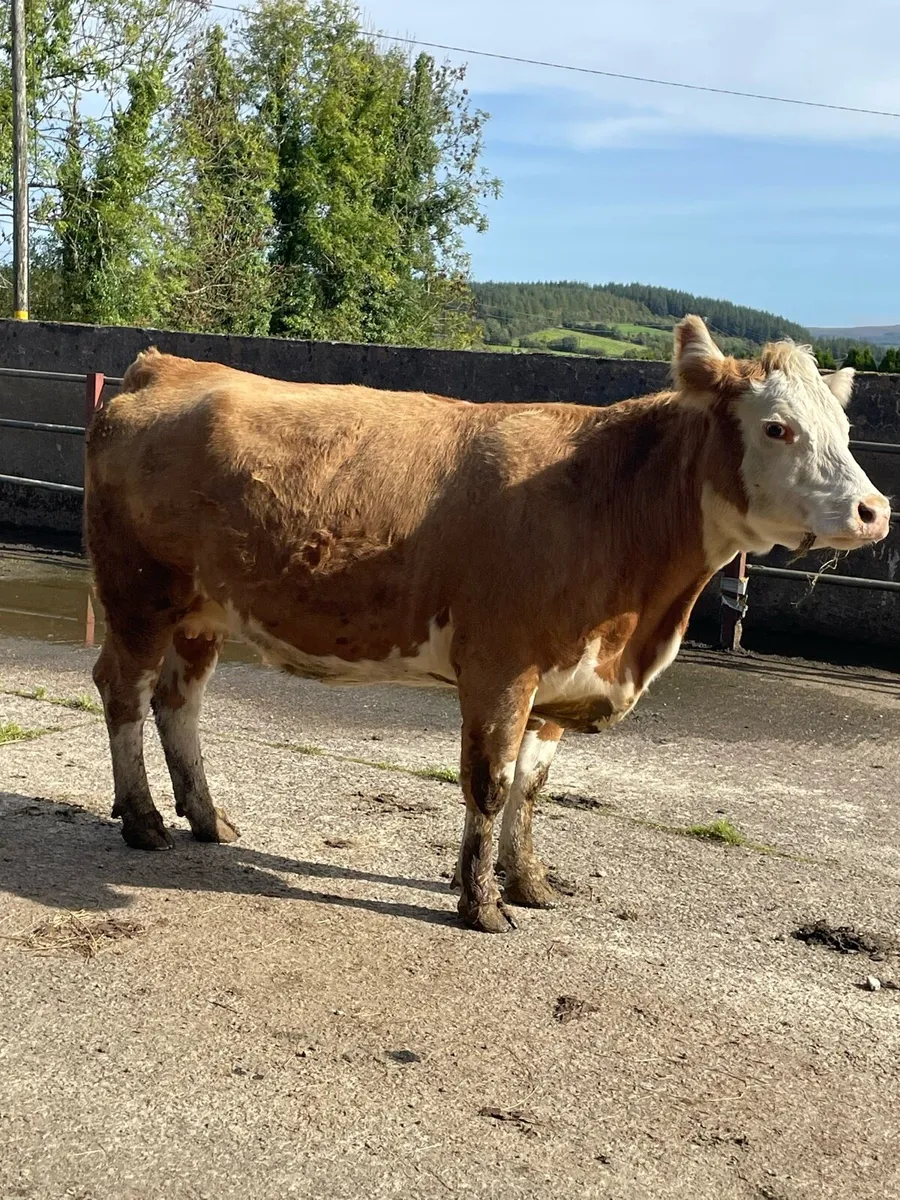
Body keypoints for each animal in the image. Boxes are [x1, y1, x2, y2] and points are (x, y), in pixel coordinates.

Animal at [85, 317, 890, 932]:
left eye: (847, 428)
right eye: (778, 428)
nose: (874, 510)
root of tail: (164, 364)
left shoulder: (562, 672)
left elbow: (532, 789)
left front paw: (528, 883)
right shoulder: (501, 667)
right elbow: (490, 784)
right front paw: (480, 904)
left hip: (203, 611)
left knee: (179, 702)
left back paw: (206, 818)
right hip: (138, 595)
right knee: (124, 691)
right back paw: (143, 820)